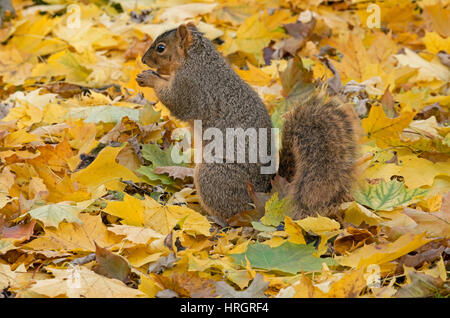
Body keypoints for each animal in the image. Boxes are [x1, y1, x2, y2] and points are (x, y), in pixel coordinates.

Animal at [137, 23, 358, 224]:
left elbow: (176, 101)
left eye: (161, 48)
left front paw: (149, 78)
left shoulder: (190, 86)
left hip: (213, 176)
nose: (142, 60)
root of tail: (266, 198)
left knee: (230, 213)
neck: (196, 59)